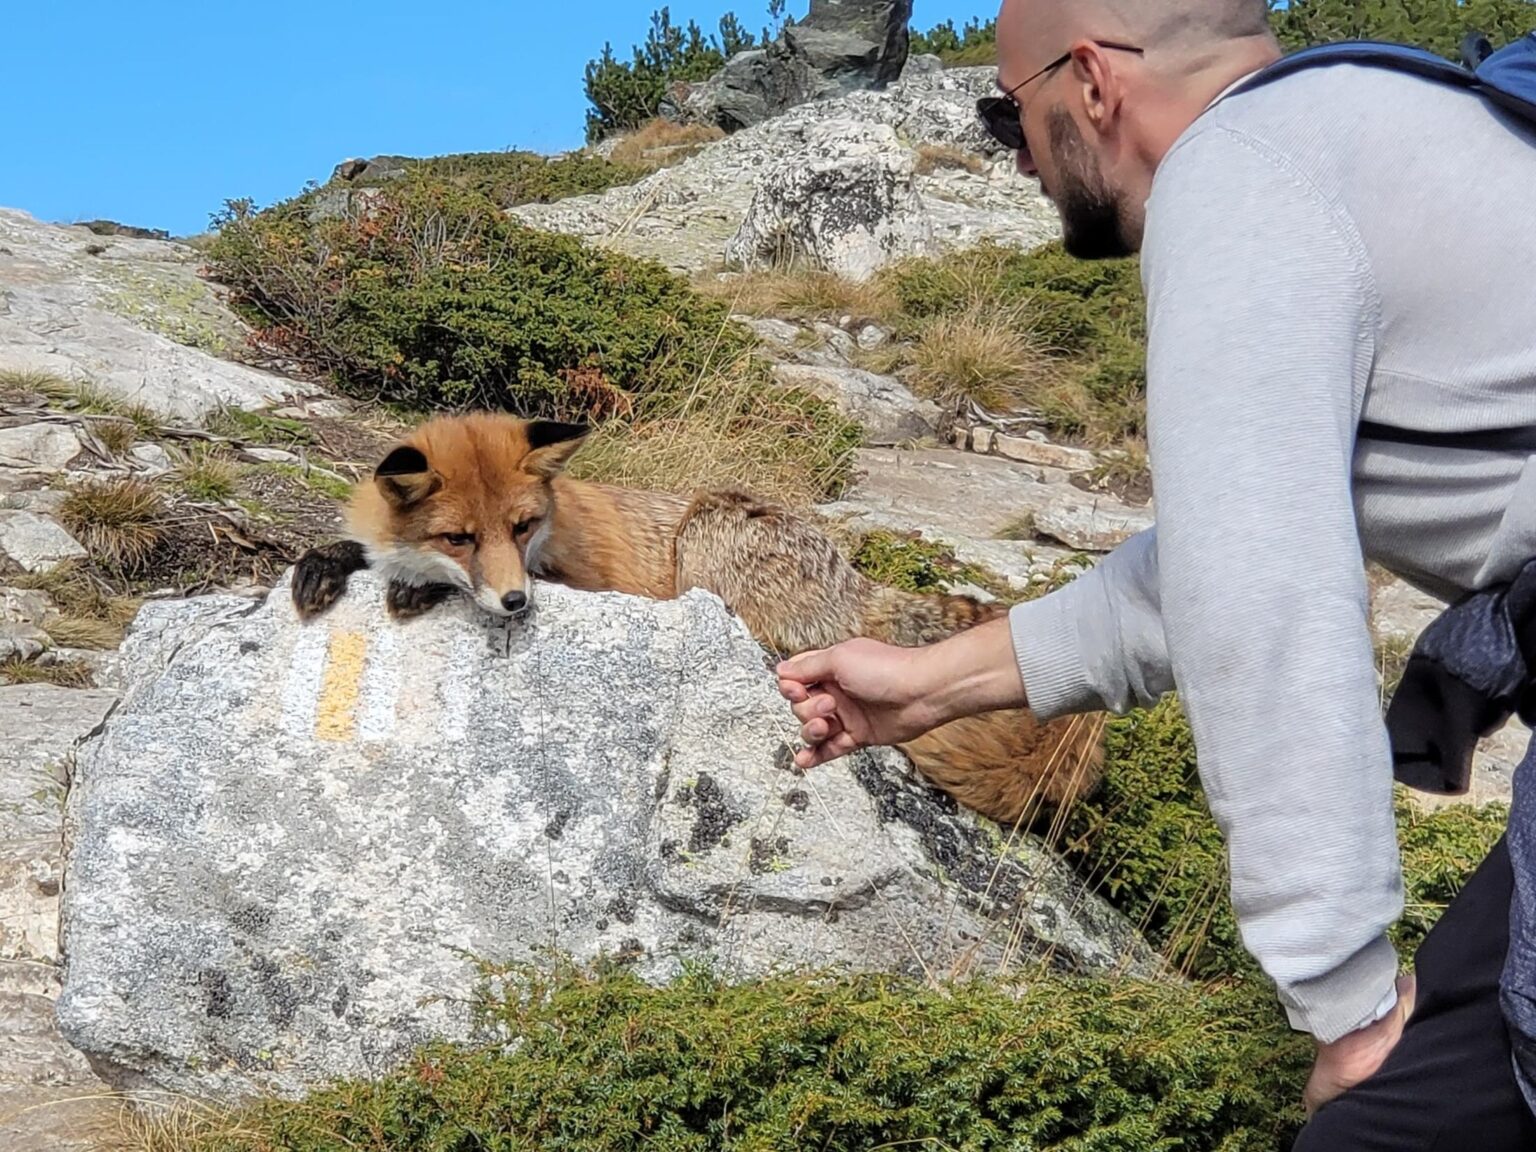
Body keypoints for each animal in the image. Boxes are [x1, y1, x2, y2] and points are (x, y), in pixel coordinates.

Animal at [290, 410, 1105, 826]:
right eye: (459, 537)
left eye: (522, 528)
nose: (515, 605)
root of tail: (858, 582)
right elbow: (356, 552)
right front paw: (329, 563)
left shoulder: (583, 579)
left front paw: (414, 589)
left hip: (709, 538)